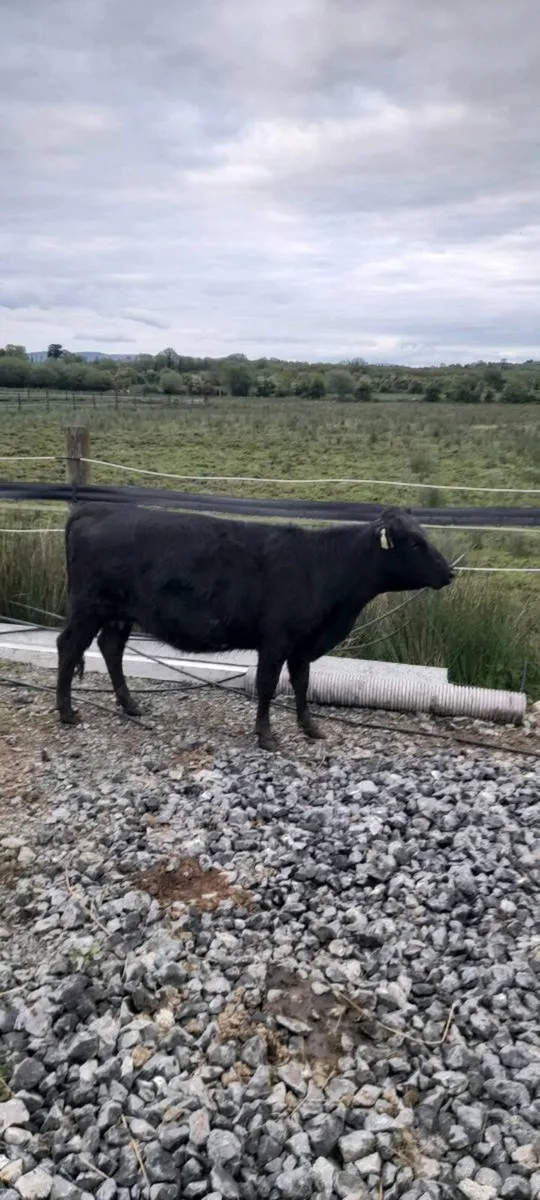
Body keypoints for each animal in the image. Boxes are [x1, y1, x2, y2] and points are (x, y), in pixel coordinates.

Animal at [56, 503, 453, 750]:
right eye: (414, 543)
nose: (450, 573)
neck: (324, 566)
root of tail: (96, 509)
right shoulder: (276, 640)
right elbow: (267, 687)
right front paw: (266, 737)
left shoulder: (302, 644)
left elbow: (302, 684)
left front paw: (310, 727)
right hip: (89, 607)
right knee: (69, 647)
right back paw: (66, 712)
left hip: (119, 612)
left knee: (111, 648)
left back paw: (130, 705)